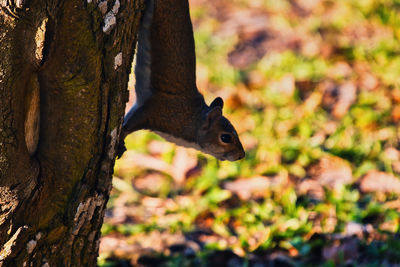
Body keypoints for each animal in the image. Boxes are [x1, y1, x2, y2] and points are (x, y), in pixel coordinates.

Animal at [117, 0, 245, 162]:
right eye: (225, 138)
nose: (242, 155)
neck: (191, 118)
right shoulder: (156, 111)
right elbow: (130, 124)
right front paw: (121, 139)